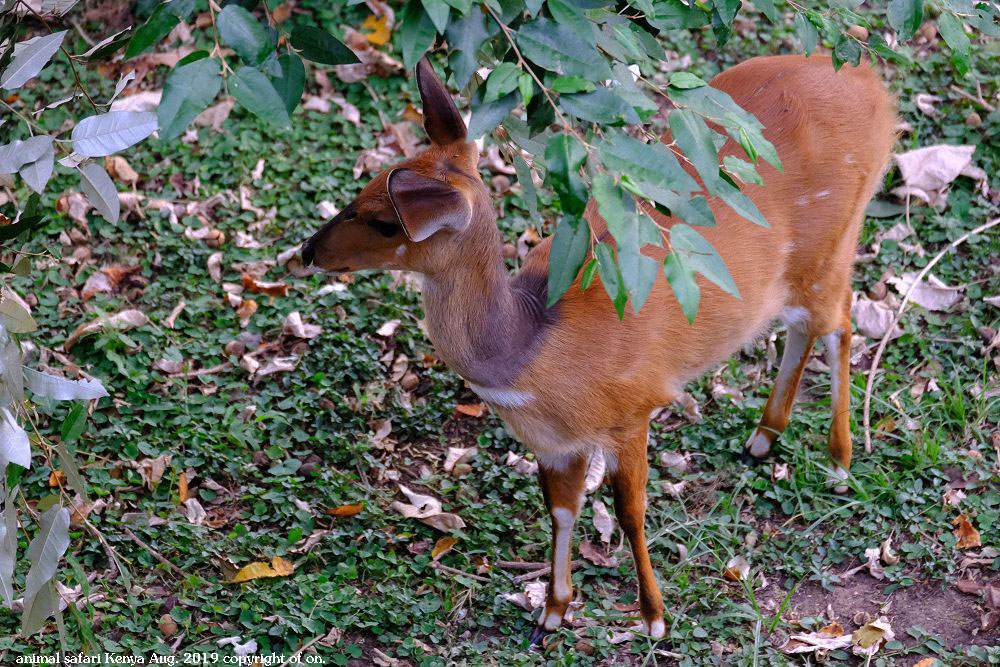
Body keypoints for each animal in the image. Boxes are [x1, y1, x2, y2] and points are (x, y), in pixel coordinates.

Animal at [300, 56, 896, 640]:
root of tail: (873, 83)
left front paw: (654, 620)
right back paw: (762, 438)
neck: (531, 348)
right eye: (362, 190)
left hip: (831, 244)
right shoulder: (557, 444)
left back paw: (839, 463)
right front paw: (552, 612)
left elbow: (630, 511)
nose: (308, 250)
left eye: (384, 221)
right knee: (806, 325)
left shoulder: (632, 412)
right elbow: (562, 510)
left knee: (841, 318)